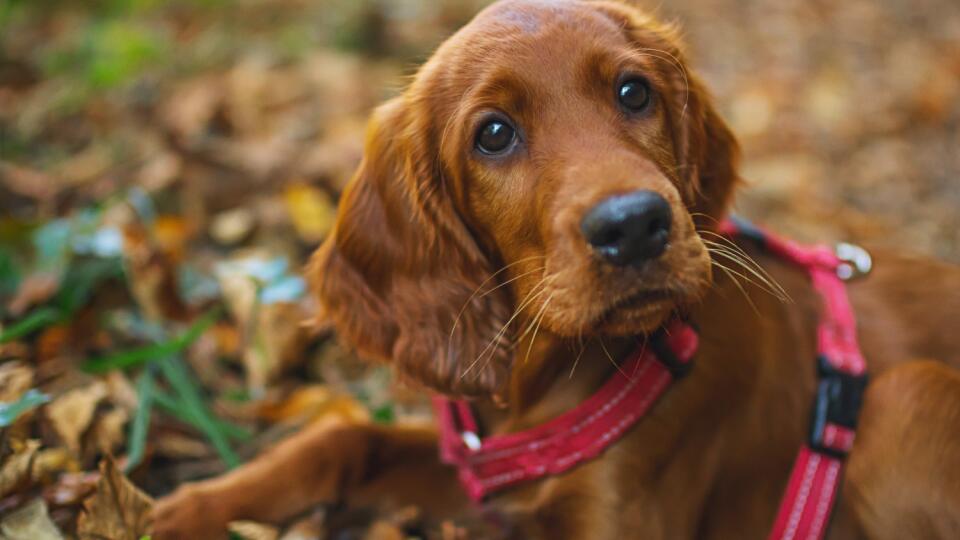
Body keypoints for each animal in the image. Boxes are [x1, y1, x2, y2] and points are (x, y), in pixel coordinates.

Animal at [154, 2, 960, 536]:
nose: (634, 226)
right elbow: (344, 438)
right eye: (494, 134)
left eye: (634, 91)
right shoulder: (491, 469)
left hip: (904, 400)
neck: (546, 379)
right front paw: (186, 509)